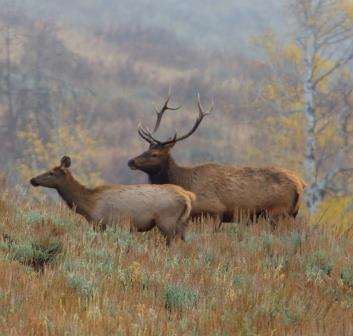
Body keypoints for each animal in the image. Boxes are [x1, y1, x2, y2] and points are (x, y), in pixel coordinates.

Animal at [30, 156, 195, 245]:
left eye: (51, 172)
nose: (33, 179)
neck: (89, 205)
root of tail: (187, 196)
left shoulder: (115, 224)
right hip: (181, 223)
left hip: (166, 221)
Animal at [127, 91, 306, 226]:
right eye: (146, 149)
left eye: (154, 154)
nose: (131, 161)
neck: (183, 181)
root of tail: (300, 184)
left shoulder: (213, 211)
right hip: (291, 213)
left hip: (277, 211)